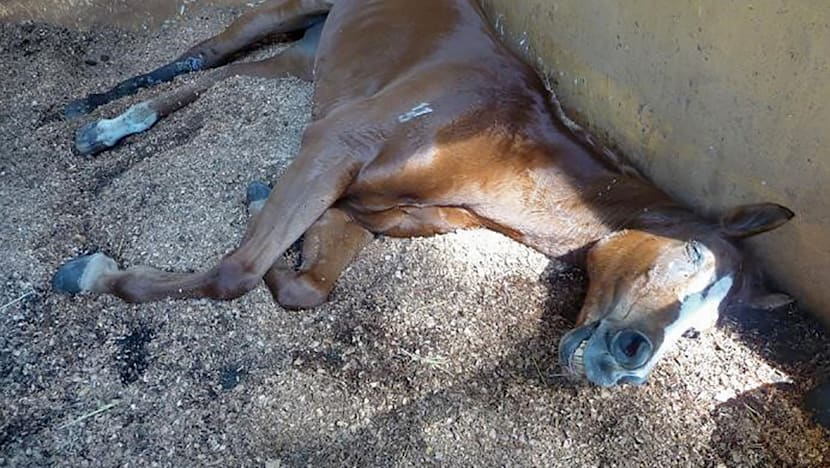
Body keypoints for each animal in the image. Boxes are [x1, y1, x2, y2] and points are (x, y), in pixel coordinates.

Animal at [53, 0, 794, 387]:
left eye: (701, 331)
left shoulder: (360, 206)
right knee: (201, 55)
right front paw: (94, 274)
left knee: (223, 80)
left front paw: (270, 219)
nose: (629, 362)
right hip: (286, 15)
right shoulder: (335, 145)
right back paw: (92, 116)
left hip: (309, 56)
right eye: (690, 253)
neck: (498, 140)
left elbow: (303, 287)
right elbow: (233, 275)